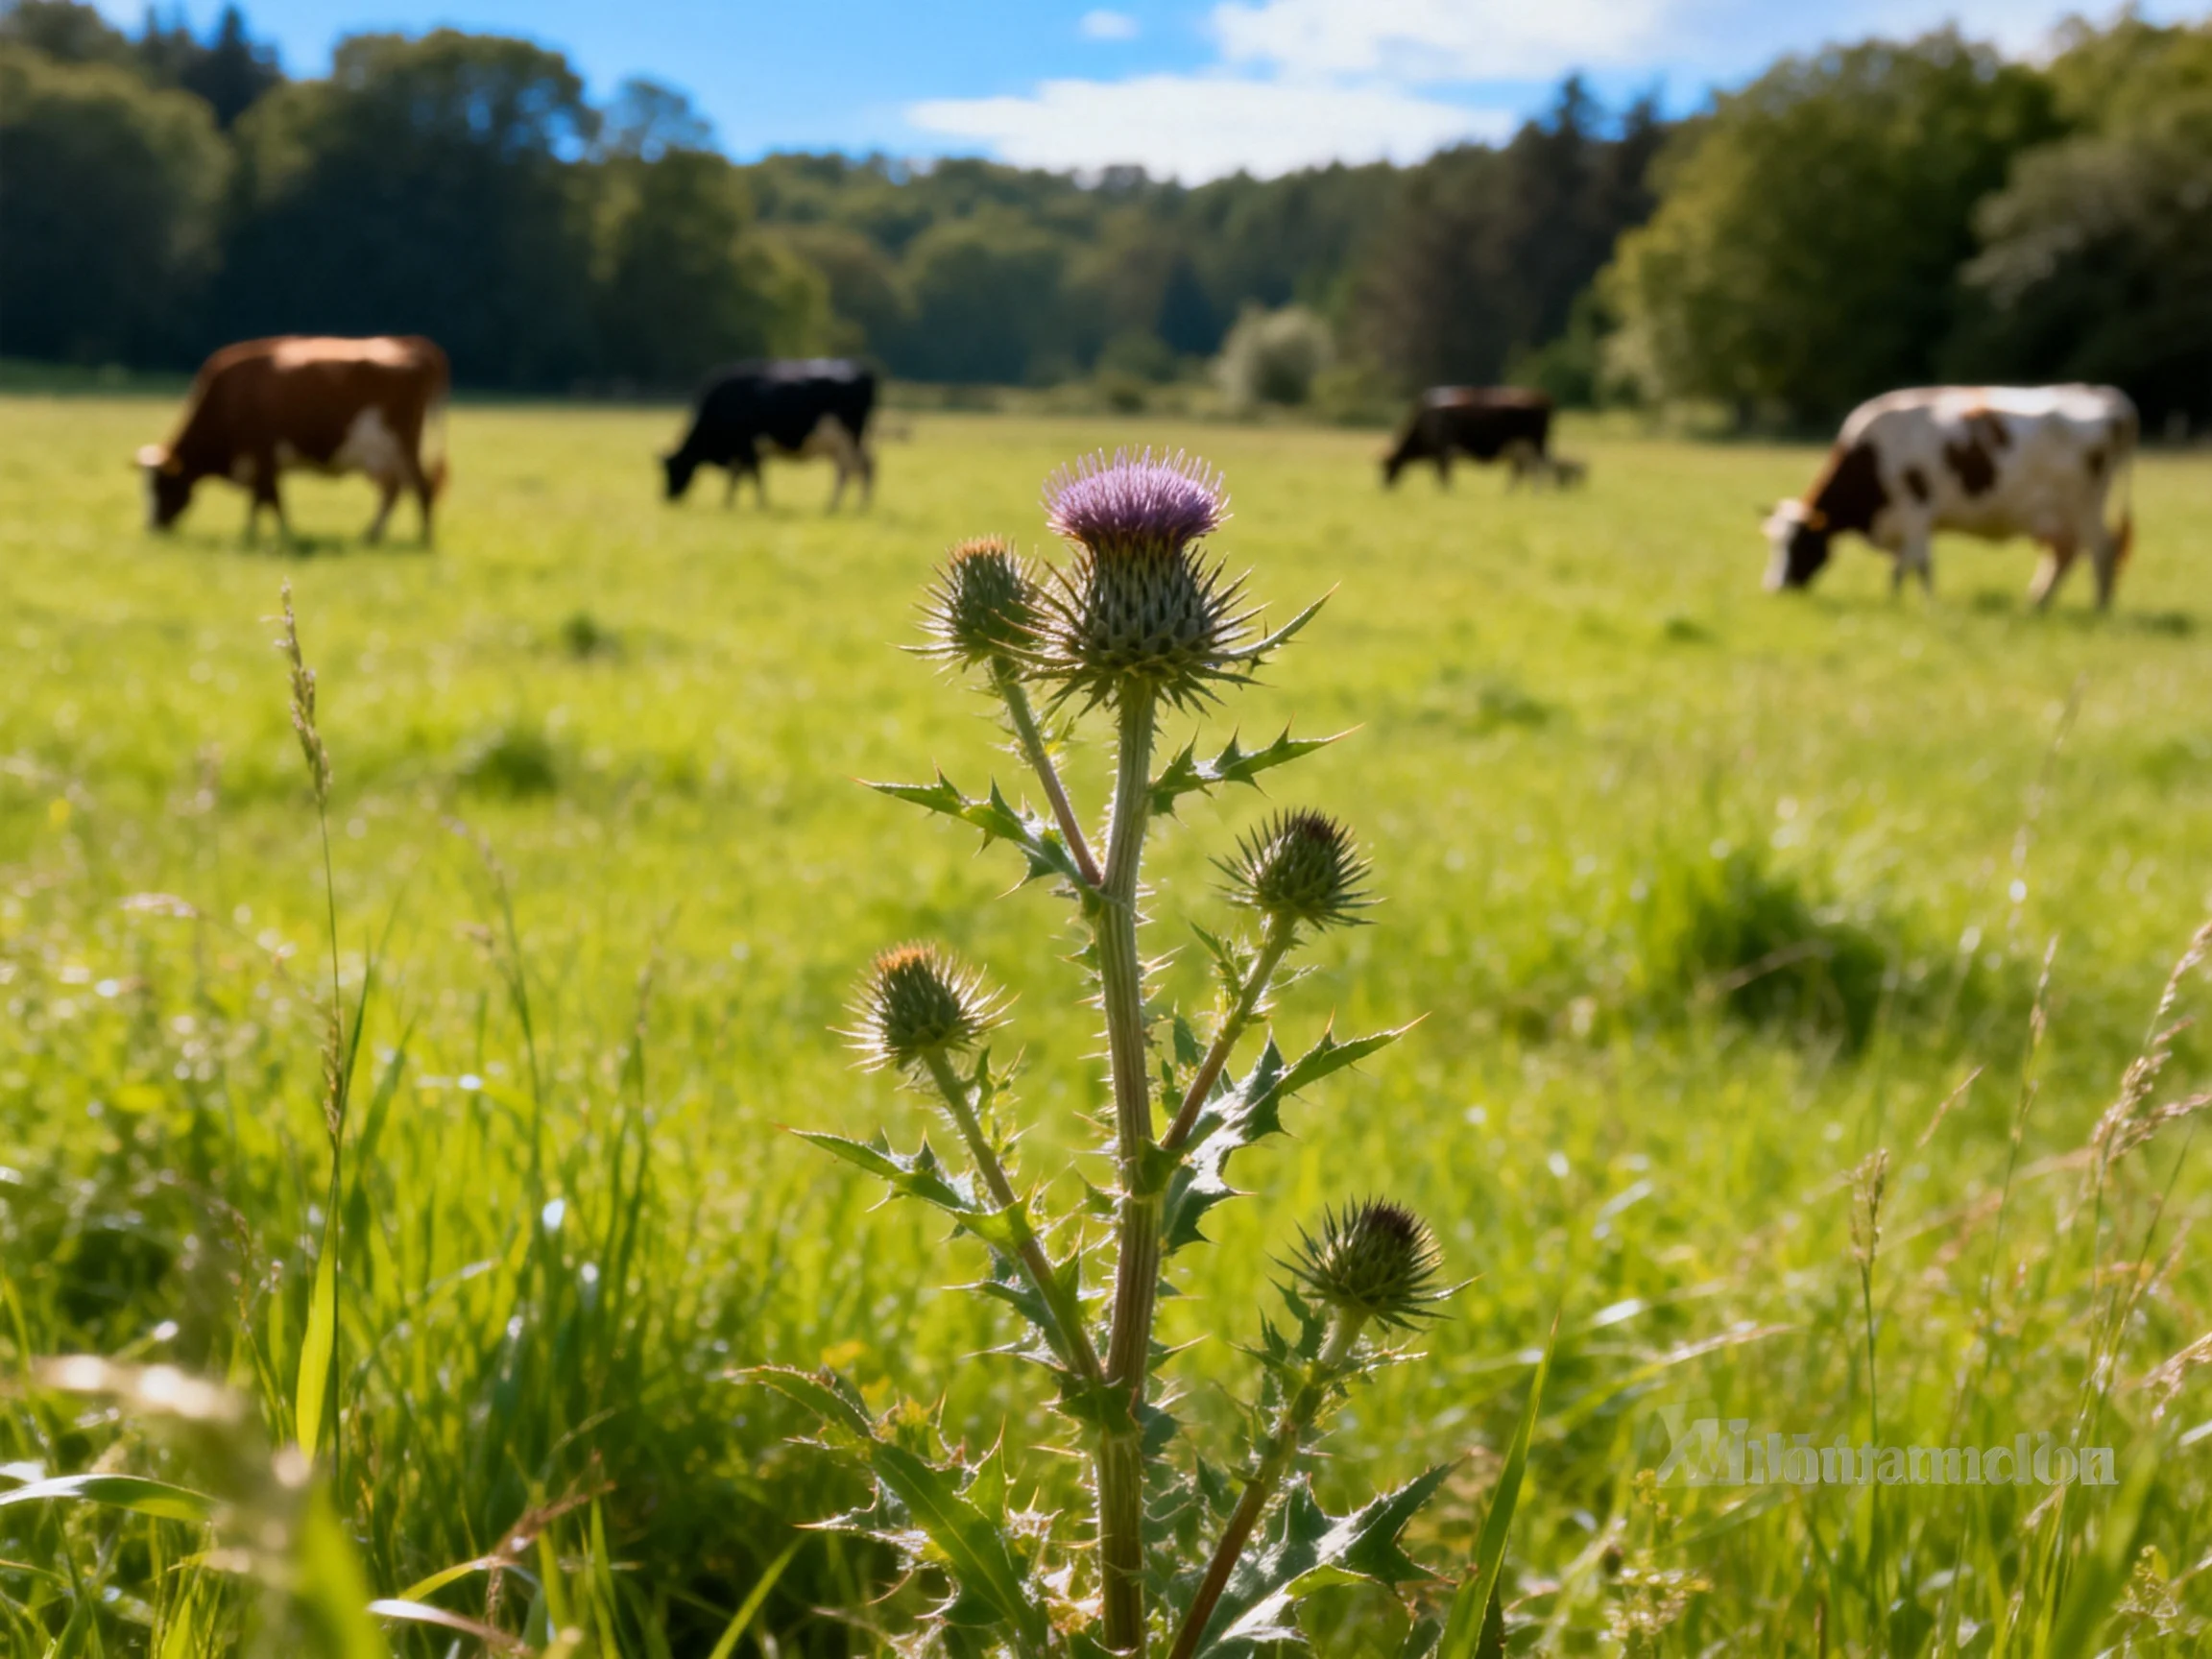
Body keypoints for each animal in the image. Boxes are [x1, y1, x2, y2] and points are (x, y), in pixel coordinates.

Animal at [137, 336, 448, 546]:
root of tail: (414, 346)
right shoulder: (264, 464)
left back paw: (424, 540)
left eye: (163, 485)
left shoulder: (263, 456)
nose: (152, 528)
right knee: (394, 491)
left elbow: (269, 501)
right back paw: (372, 535)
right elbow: (262, 501)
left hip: (402, 443)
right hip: (383, 456)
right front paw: (257, 534)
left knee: (422, 488)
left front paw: (276, 535)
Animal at [662, 359, 876, 509]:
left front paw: (760, 504)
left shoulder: (747, 446)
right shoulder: (747, 452)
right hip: (852, 442)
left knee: (847, 471)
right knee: (866, 466)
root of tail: (864, 373)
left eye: (673, 469)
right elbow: (738, 477)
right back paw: (859, 505)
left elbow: (754, 477)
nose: (666, 497)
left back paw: (834, 505)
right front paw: (728, 503)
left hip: (848, 439)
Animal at [1382, 387, 1553, 487]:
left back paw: (1537, 490)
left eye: (1388, 466)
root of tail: (1543, 398)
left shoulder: (1443, 450)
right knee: (1524, 467)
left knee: (1541, 465)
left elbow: (1442, 474)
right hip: (1521, 445)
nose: (1384, 486)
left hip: (1536, 441)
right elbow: (1444, 473)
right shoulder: (1445, 452)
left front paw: (1446, 490)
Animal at [1763, 385, 2138, 608]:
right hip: (2054, 515)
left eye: (1801, 544)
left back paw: (2100, 608)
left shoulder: (1916, 510)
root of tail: (2106, 396)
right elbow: (1909, 566)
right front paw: (1910, 602)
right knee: (2064, 555)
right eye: (1775, 543)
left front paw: (1915, 604)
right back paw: (2036, 604)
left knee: (2102, 550)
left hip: (2085, 504)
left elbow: (1916, 565)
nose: (1774, 588)